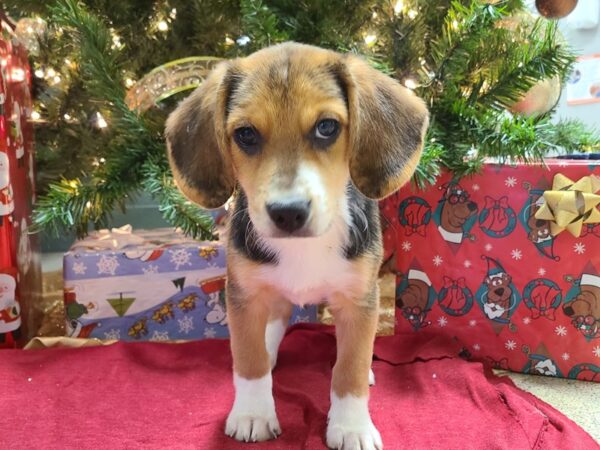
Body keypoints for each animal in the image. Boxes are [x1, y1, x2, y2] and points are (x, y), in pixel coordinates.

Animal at [164, 43, 426, 450]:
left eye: (327, 127)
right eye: (246, 134)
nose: (288, 212)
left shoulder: (359, 299)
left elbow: (349, 369)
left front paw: (351, 426)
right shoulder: (243, 294)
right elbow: (250, 360)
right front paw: (253, 413)